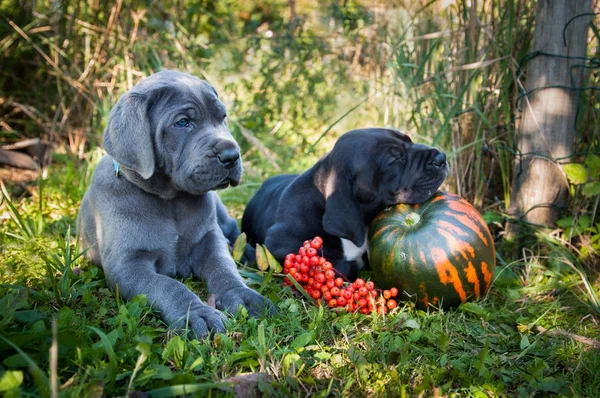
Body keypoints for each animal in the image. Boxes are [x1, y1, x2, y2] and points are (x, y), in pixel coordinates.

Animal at [78, 70, 276, 338]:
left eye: (222, 117)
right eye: (183, 123)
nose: (232, 155)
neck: (171, 200)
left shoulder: (209, 238)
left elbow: (223, 266)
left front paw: (243, 295)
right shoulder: (127, 264)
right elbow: (166, 284)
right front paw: (197, 314)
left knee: (233, 229)